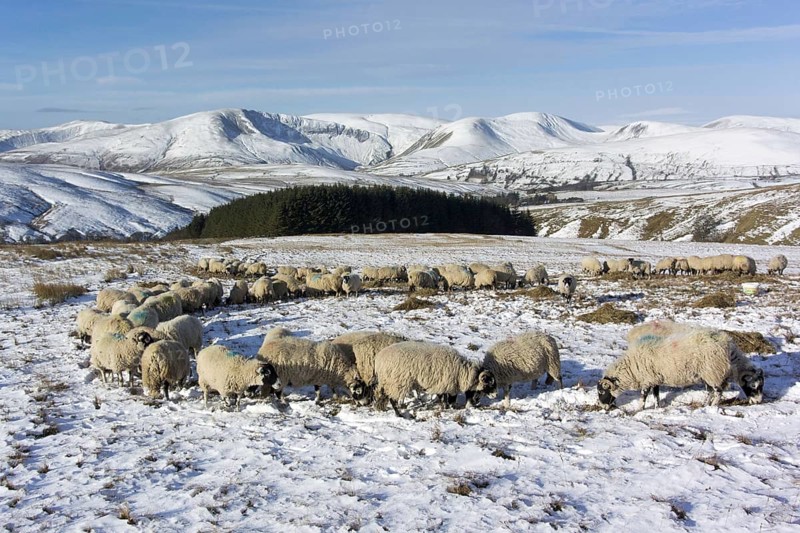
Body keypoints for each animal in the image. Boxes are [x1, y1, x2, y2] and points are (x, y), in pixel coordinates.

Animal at [598, 325, 764, 410]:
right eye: (755, 386)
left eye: (601, 392)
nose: (602, 407)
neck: (631, 367)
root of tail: (726, 344)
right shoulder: (654, 377)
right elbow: (656, 394)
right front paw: (657, 407)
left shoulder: (647, 379)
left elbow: (643, 396)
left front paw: (639, 409)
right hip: (707, 373)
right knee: (711, 391)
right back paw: (705, 404)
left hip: (712, 372)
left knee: (718, 392)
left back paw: (711, 406)